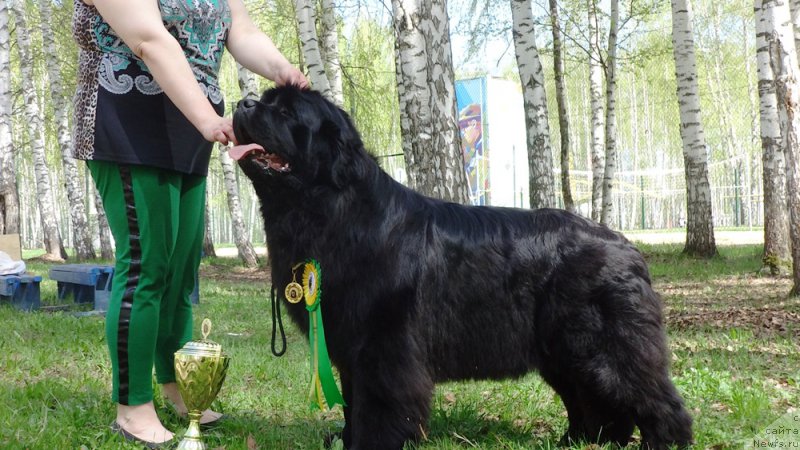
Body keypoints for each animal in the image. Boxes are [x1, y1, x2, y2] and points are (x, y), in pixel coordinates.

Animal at [230, 86, 688, 448]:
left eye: (286, 112)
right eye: (265, 101)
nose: (243, 102)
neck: (328, 210)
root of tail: (626, 247)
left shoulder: (384, 345)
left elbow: (378, 405)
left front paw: (369, 444)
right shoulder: (346, 345)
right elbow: (353, 402)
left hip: (603, 344)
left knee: (652, 397)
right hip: (564, 351)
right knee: (594, 401)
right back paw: (579, 441)